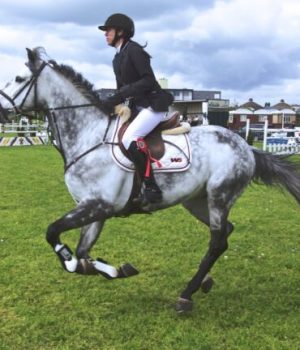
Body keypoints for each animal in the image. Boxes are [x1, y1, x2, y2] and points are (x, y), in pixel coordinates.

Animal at [0, 46, 300, 312]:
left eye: (19, 79)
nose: (2, 111)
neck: (89, 136)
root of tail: (247, 147)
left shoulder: (97, 205)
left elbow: (55, 235)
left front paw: (73, 261)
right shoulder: (94, 209)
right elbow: (84, 253)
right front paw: (116, 269)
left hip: (219, 196)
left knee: (216, 241)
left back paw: (186, 295)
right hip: (197, 201)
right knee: (224, 234)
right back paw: (203, 282)